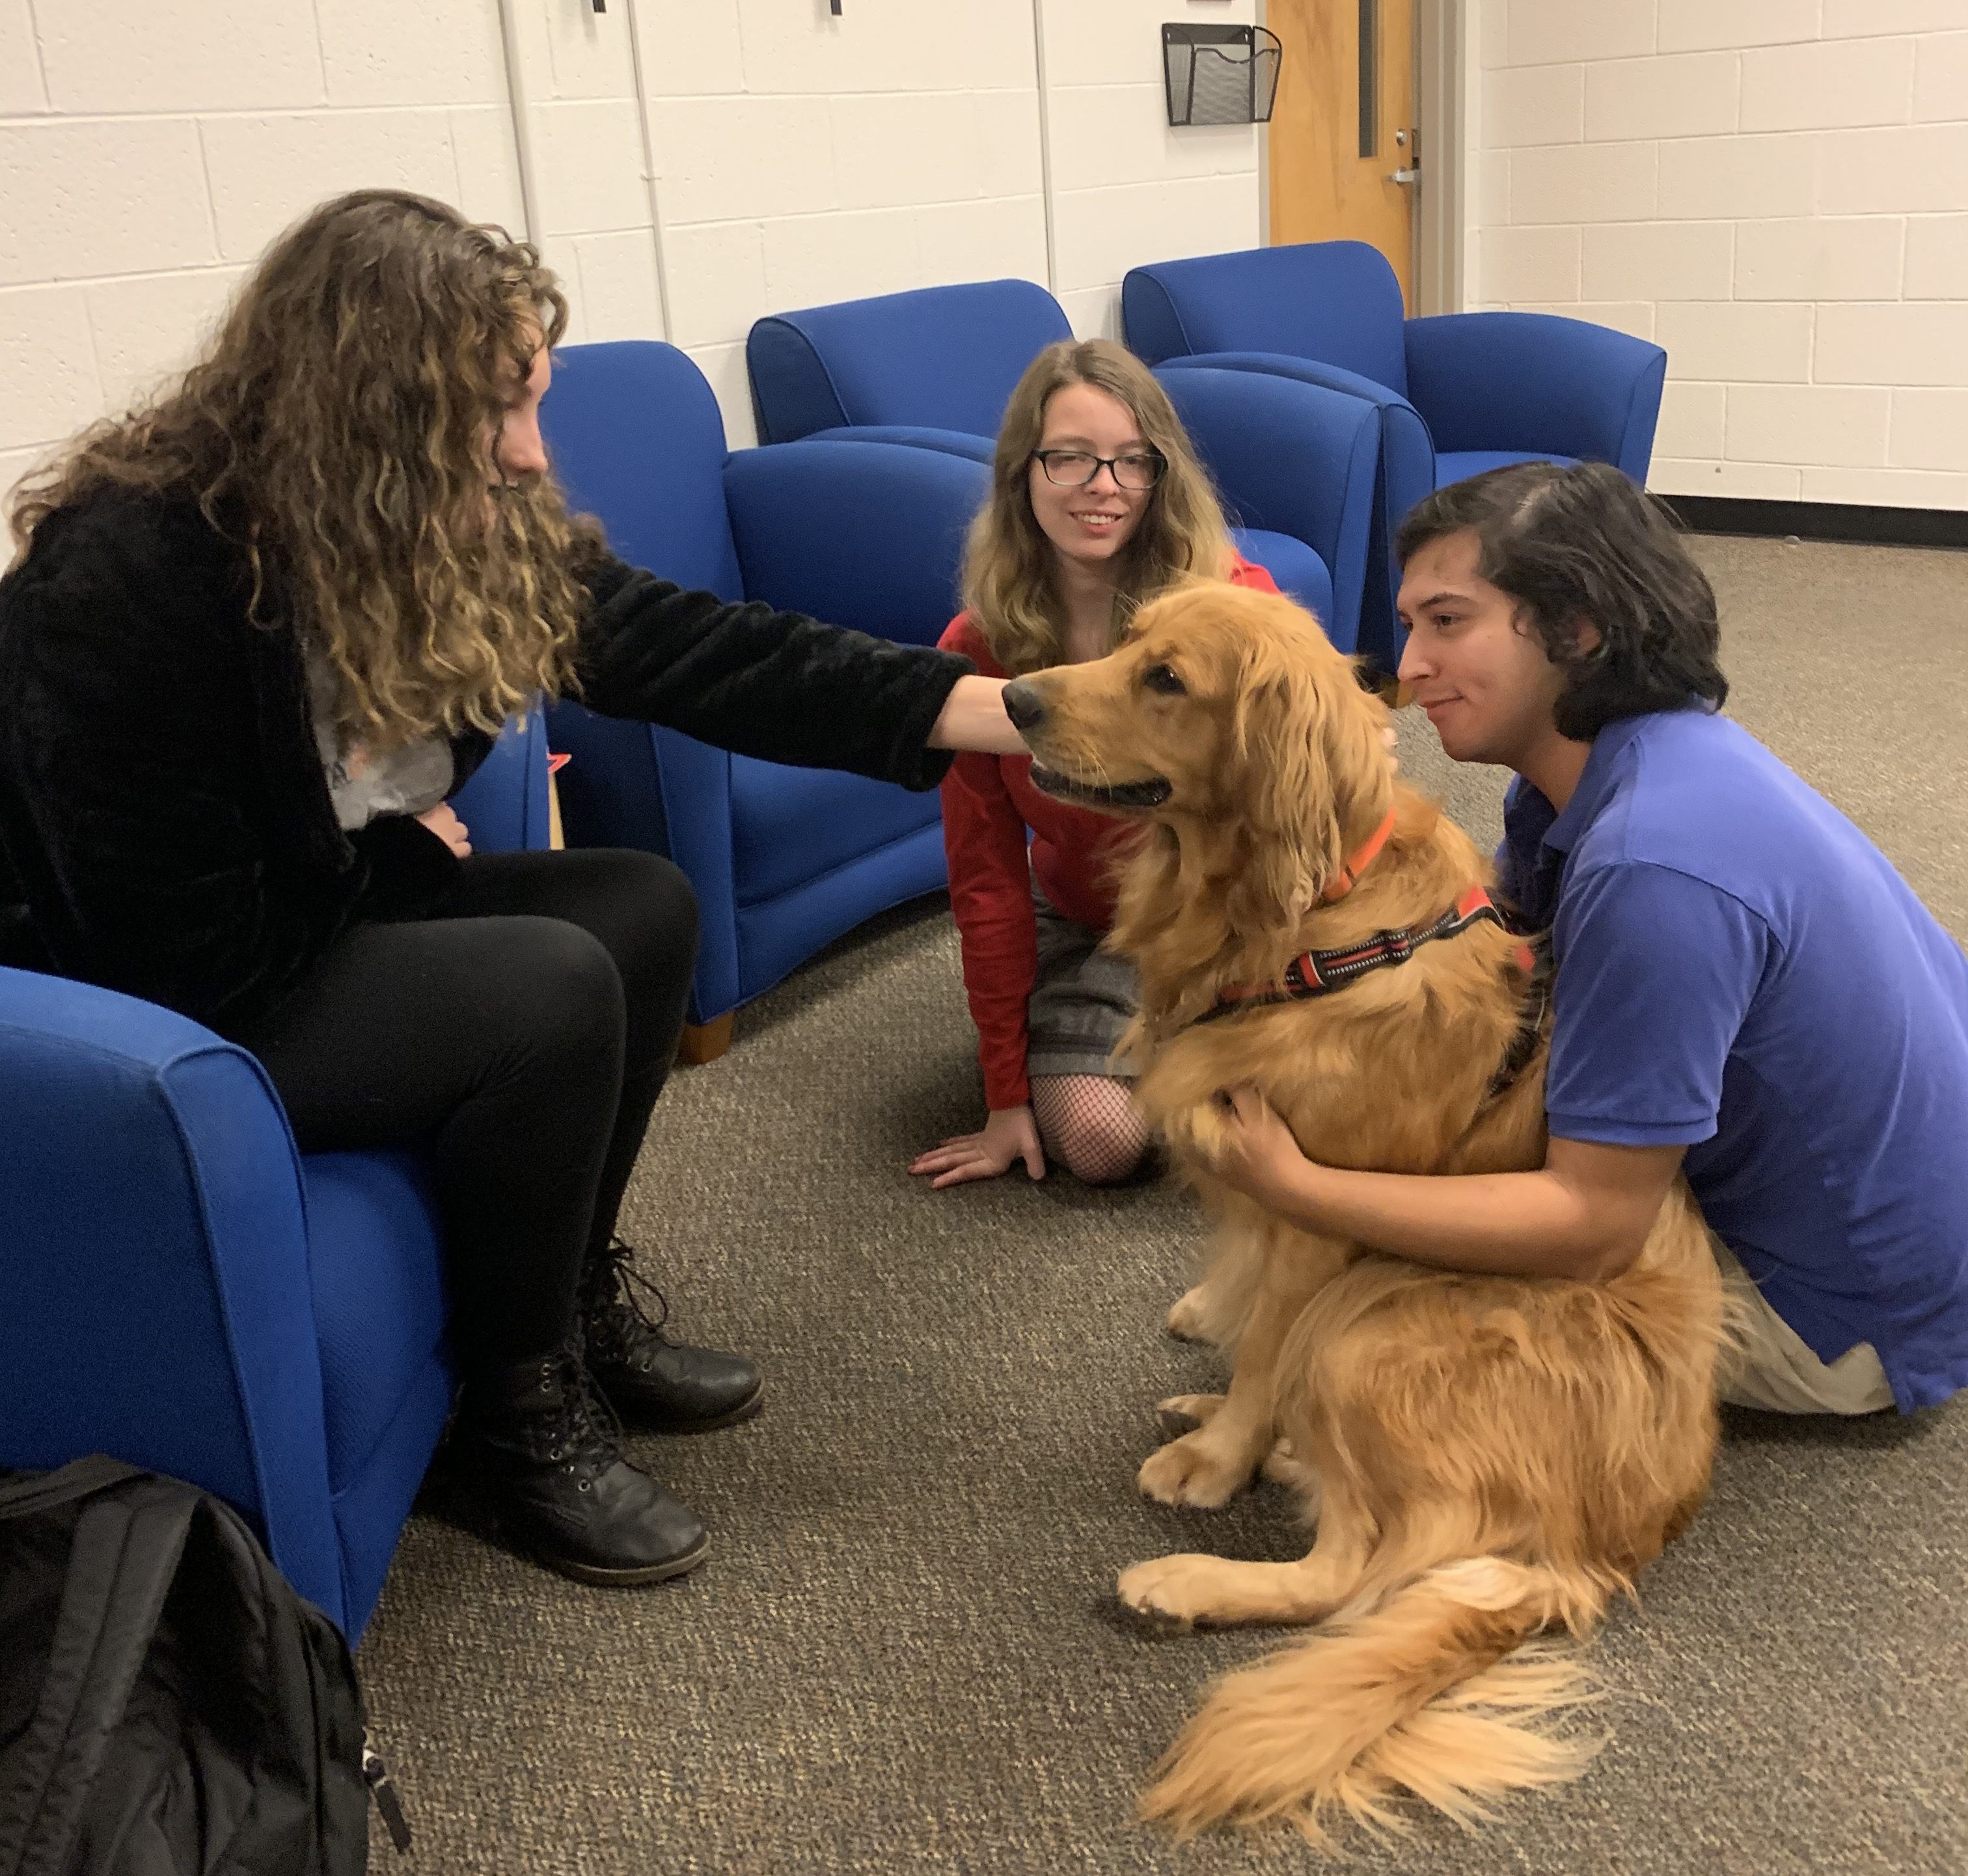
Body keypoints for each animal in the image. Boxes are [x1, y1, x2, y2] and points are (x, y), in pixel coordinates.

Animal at [1000, 583, 1724, 1842]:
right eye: (1126, 639)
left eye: (1166, 679)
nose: (1011, 696)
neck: (1312, 924)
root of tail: (1610, 1544)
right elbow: (1247, 1325)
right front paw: (1220, 1384)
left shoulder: (1317, 1217)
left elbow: (1264, 1351)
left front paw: (1218, 1458)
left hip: (1375, 1319)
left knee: (1349, 1574)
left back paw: (1186, 1576)